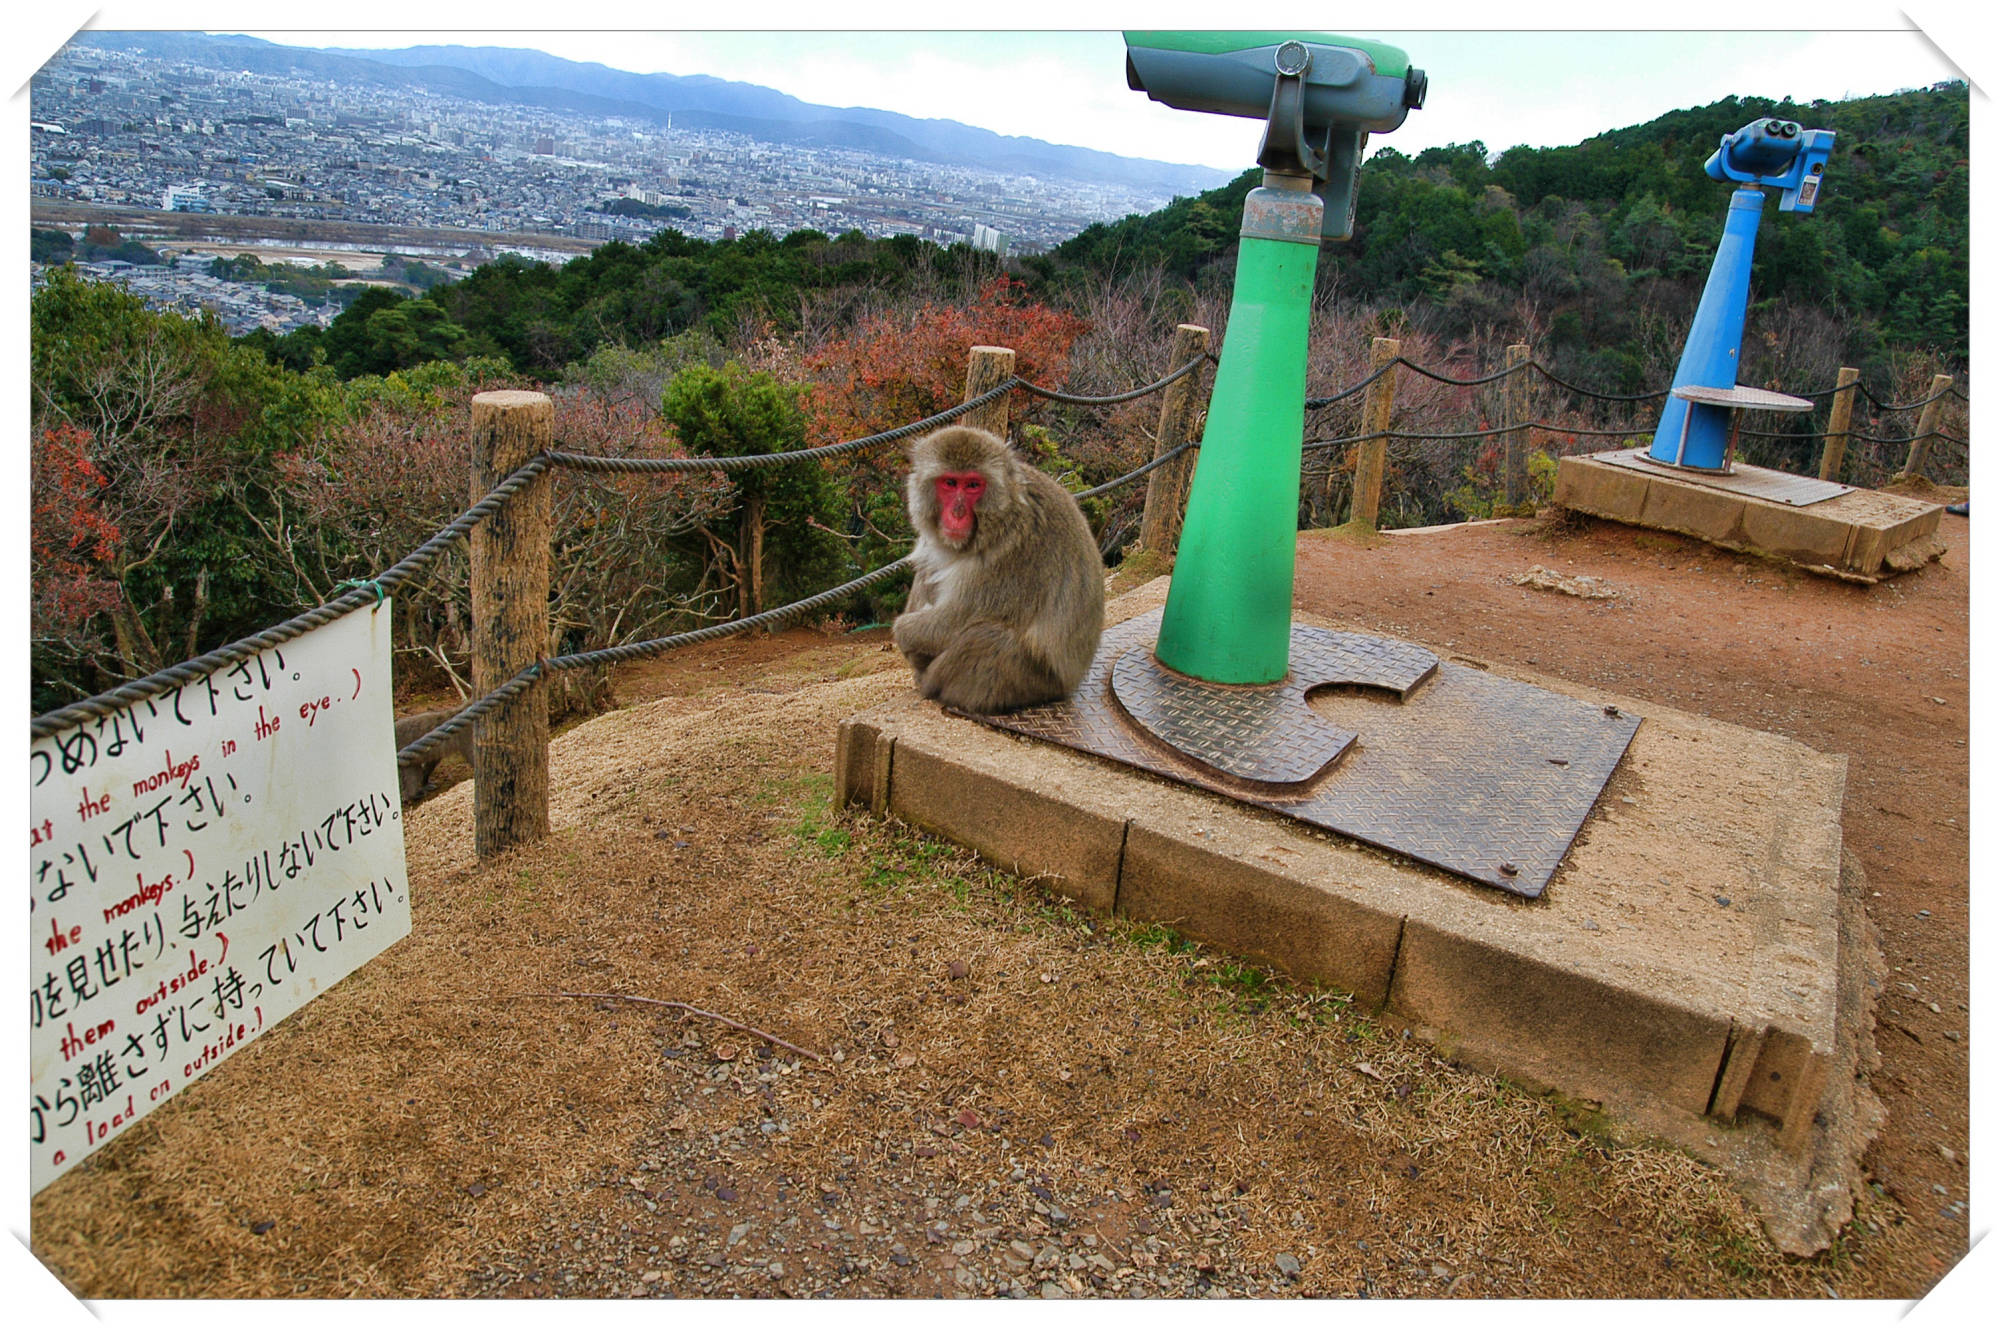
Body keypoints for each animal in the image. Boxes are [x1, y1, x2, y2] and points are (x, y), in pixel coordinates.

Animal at [892, 425, 1104, 714]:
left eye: (973, 485)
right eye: (950, 483)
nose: (957, 513)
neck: (1003, 516)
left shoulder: (1012, 553)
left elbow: (953, 622)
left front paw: (904, 633)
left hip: (1034, 682)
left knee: (986, 636)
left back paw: (932, 685)